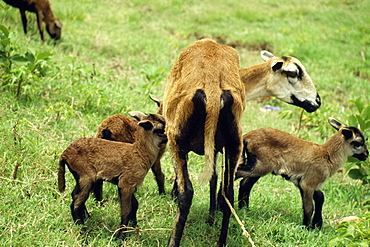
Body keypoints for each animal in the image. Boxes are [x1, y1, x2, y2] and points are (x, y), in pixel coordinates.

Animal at [163, 37, 246, 246]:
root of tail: (212, 86)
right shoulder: (217, 149)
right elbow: (214, 178)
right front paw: (211, 218)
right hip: (234, 143)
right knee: (228, 193)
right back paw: (221, 242)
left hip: (176, 139)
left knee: (187, 194)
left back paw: (173, 241)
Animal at [236, 118, 368, 230]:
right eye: (358, 143)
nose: (367, 155)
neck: (327, 156)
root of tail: (247, 136)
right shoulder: (308, 183)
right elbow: (309, 207)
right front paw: (307, 228)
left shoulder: (305, 183)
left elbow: (320, 197)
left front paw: (316, 225)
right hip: (261, 165)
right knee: (237, 173)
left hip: (259, 166)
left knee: (245, 183)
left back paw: (244, 209)